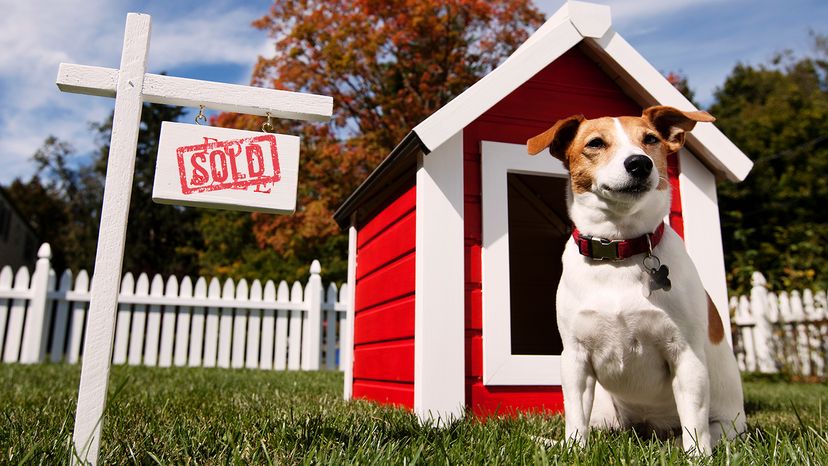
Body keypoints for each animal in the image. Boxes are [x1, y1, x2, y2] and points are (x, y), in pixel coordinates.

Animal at [528, 106, 748, 456]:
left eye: (650, 139)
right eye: (595, 143)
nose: (639, 163)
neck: (619, 249)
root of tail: (646, 431)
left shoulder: (686, 355)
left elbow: (694, 424)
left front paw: (697, 457)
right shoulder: (575, 359)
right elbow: (575, 419)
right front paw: (574, 452)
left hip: (726, 428)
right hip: (604, 412)